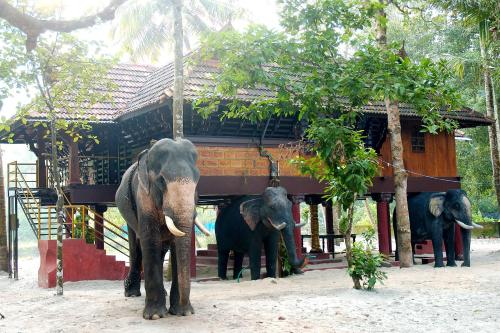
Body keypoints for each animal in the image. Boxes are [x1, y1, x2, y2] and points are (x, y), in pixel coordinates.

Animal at [115, 138, 209, 320]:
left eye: (197, 182)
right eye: (161, 181)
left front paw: (182, 312)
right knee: (136, 246)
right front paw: (155, 316)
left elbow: (175, 246)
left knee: (161, 249)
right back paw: (131, 293)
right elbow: (150, 241)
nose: (188, 310)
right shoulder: (143, 197)